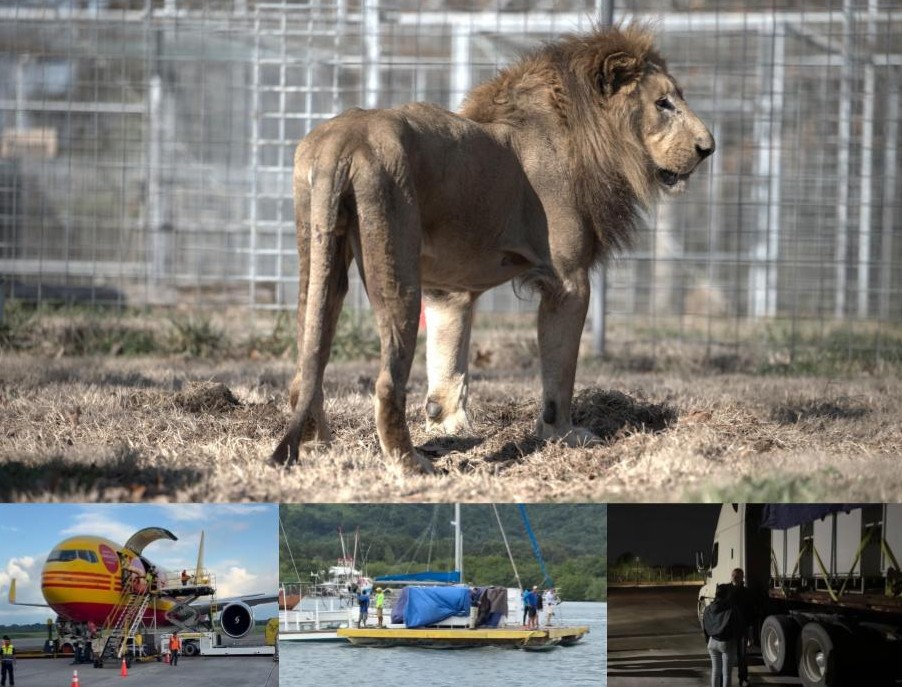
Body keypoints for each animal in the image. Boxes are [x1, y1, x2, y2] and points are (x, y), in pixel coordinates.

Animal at [272, 24, 714, 472]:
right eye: (663, 103)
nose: (708, 148)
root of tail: (342, 142)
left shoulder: (450, 291)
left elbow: (448, 365)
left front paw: (449, 426)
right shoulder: (567, 282)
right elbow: (559, 376)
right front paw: (563, 435)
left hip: (319, 259)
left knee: (307, 361)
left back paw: (319, 446)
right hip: (397, 272)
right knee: (385, 383)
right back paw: (412, 464)